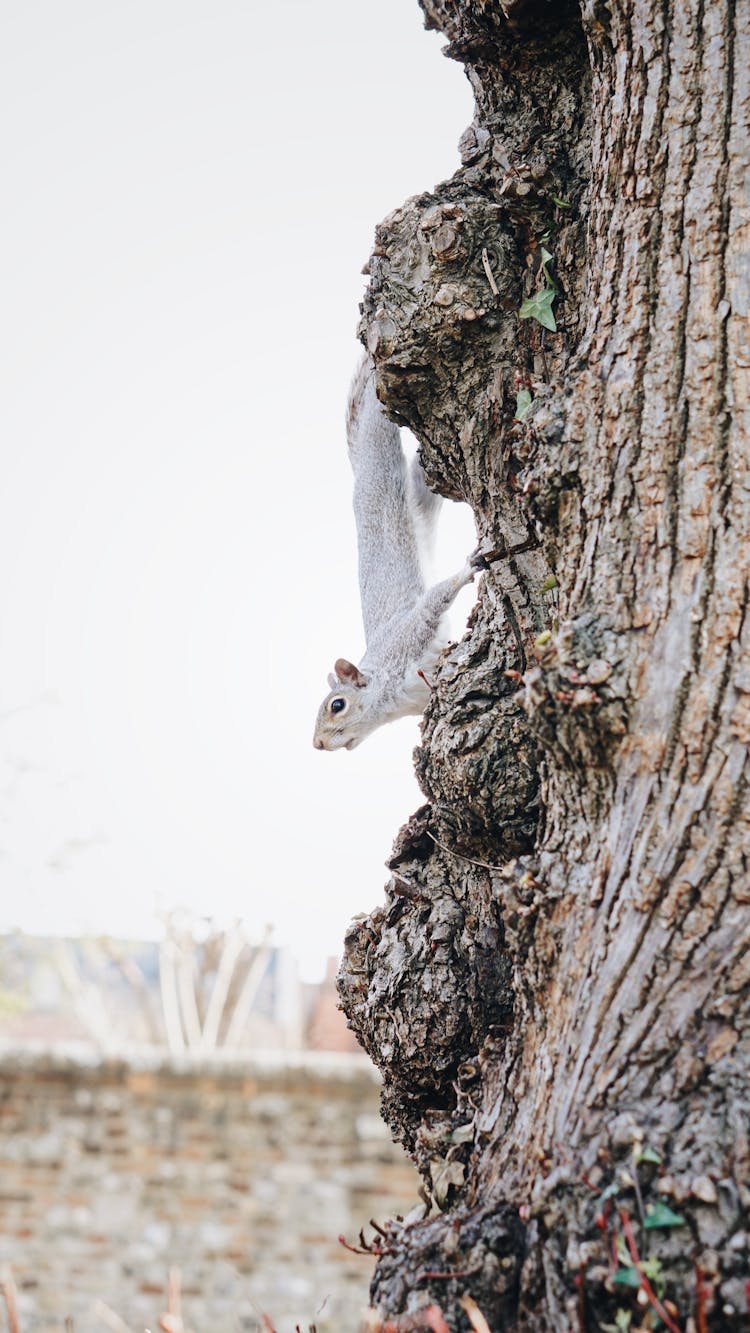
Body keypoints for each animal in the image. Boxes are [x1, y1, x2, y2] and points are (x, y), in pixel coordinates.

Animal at [313, 357, 482, 751]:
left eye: (337, 705)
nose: (317, 744)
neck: (391, 701)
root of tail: (361, 468)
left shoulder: (408, 636)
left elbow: (435, 600)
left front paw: (468, 569)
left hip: (391, 484)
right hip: (422, 494)